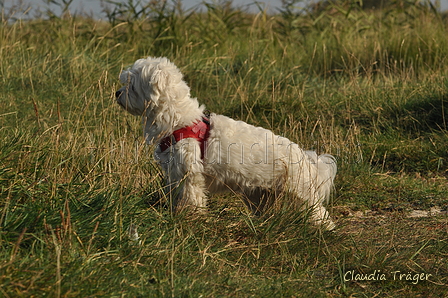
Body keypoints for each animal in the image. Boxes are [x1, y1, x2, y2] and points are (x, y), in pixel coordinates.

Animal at [115, 56, 336, 229]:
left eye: (130, 84)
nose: (117, 93)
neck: (178, 119)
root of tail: (306, 159)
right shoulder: (174, 173)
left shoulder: (190, 173)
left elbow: (191, 197)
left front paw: (189, 218)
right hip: (261, 195)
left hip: (301, 194)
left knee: (320, 215)